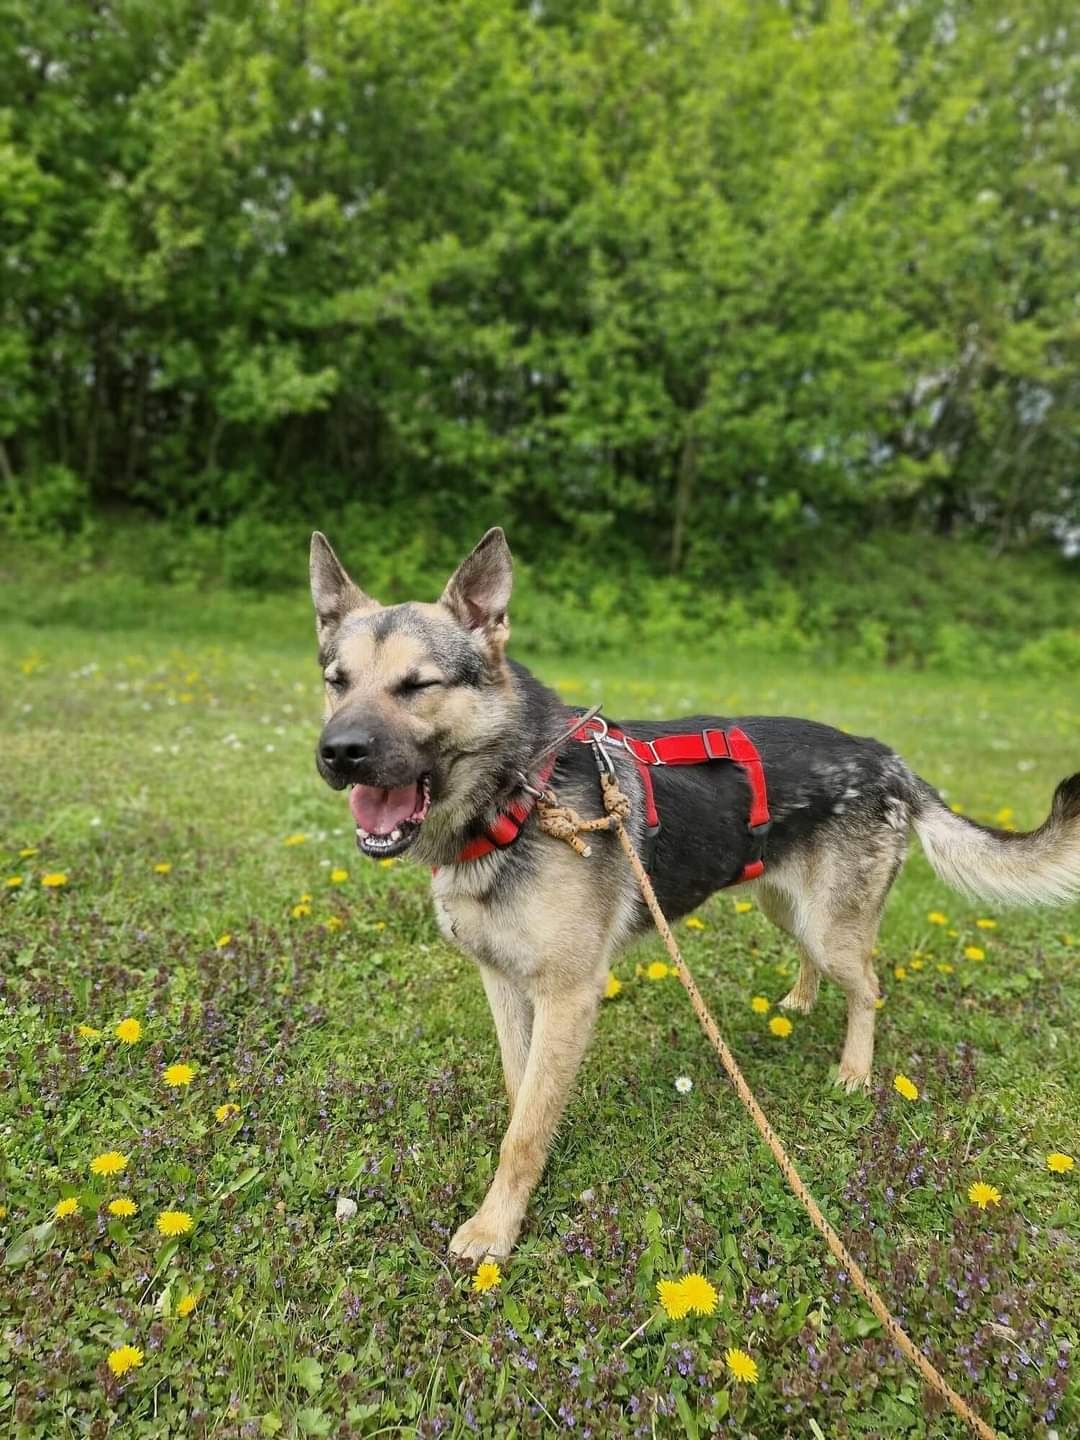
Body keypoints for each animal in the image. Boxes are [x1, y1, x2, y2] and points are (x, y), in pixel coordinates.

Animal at [308, 527, 1080, 1261]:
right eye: (336, 681)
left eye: (417, 685)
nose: (338, 753)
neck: (517, 795)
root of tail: (888, 758)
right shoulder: (503, 984)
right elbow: (520, 1090)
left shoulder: (567, 996)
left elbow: (524, 1130)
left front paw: (496, 1225)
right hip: (785, 904)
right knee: (819, 963)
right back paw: (799, 1002)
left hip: (832, 925)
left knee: (868, 987)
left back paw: (855, 1071)